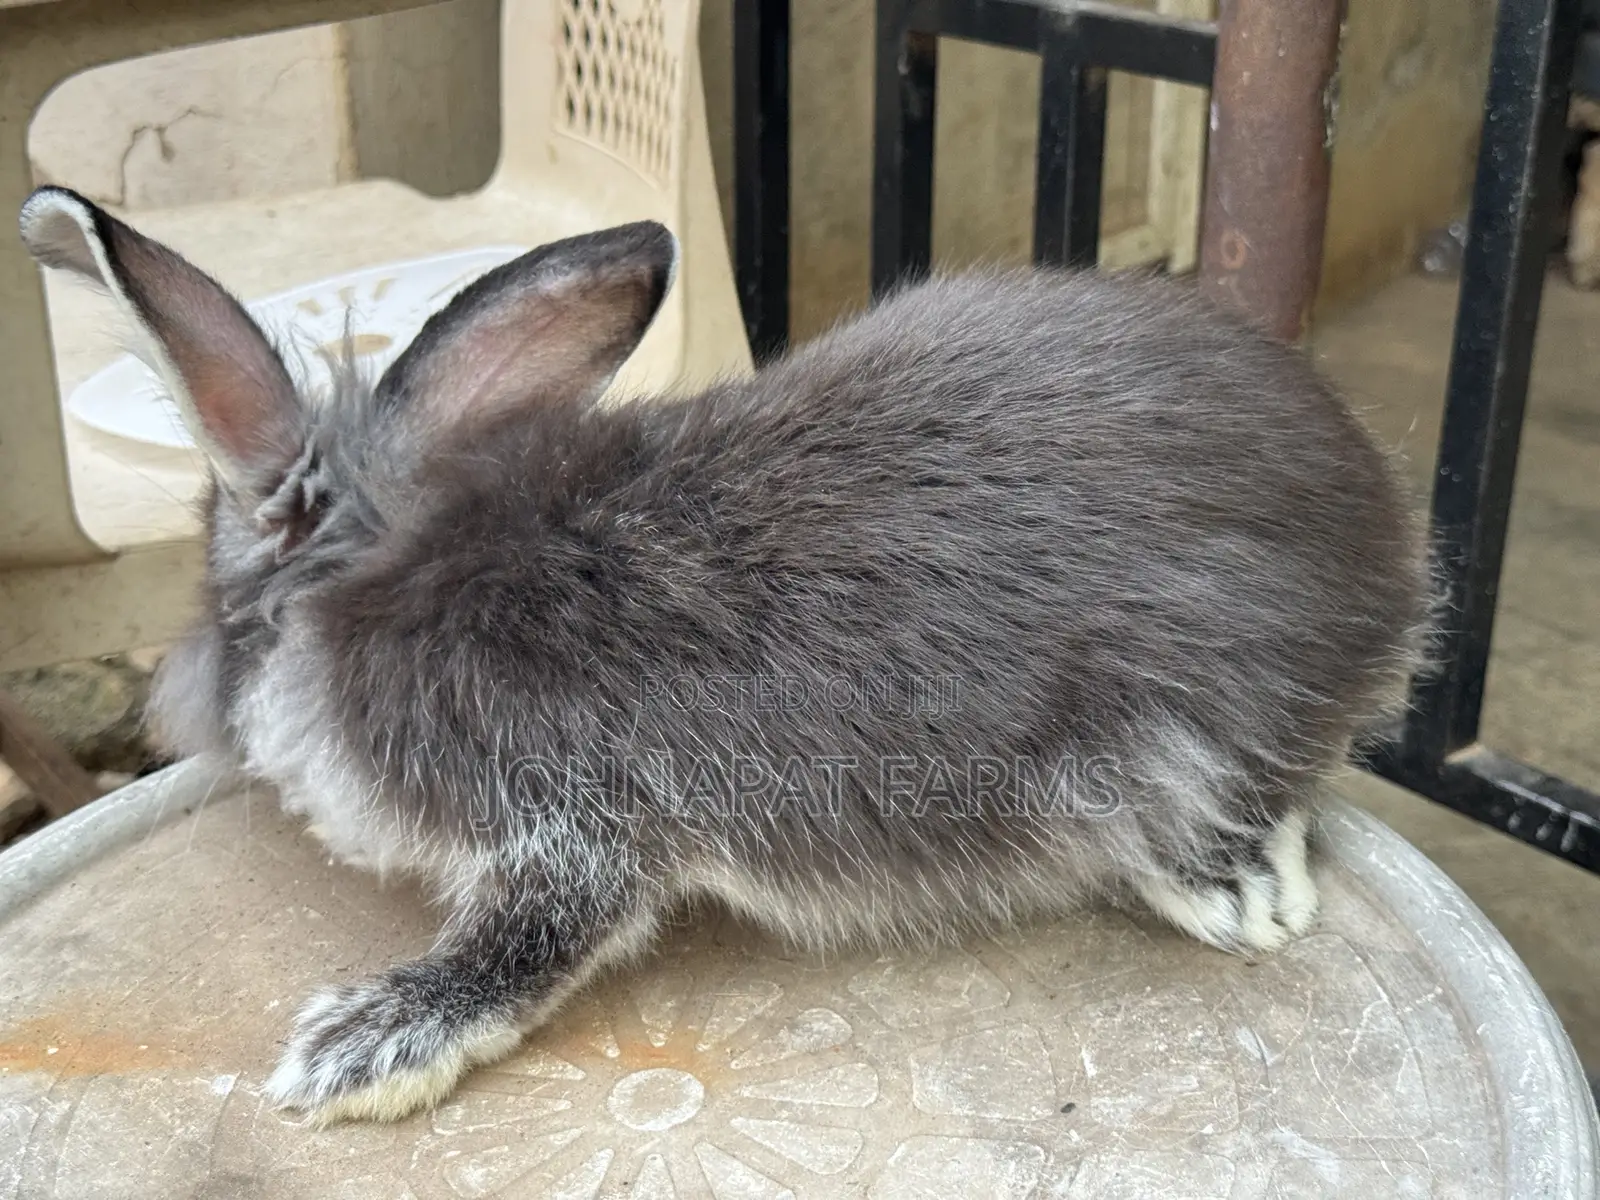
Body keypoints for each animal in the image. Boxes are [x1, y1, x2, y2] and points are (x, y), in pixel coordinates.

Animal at [19, 185, 1431, 1127]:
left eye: (216, 599)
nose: (182, 703)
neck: (378, 568)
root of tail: (1387, 550)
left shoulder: (564, 828)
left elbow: (531, 943)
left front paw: (360, 1048)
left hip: (1161, 735)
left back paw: (1234, 890)